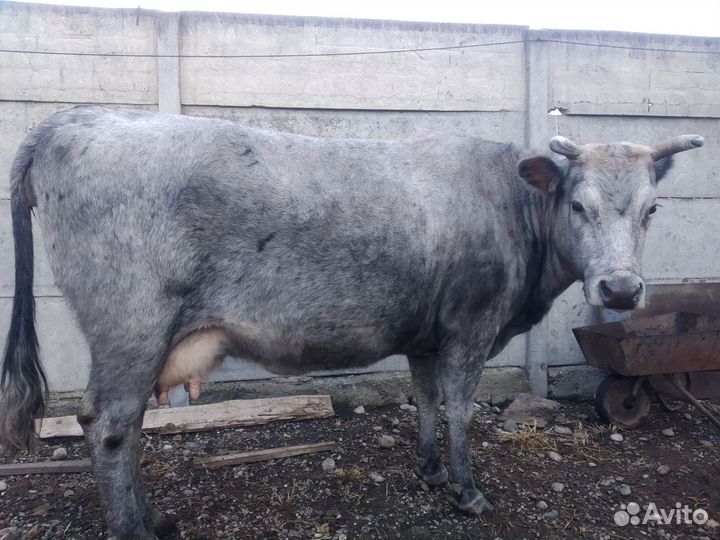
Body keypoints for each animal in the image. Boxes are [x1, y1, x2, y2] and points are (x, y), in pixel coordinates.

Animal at [0, 106, 703, 539]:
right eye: (578, 205)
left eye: (651, 208)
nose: (620, 289)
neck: (510, 205)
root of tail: (71, 118)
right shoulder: (471, 327)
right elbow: (459, 407)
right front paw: (467, 491)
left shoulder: (427, 335)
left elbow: (426, 399)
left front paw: (429, 470)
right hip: (131, 328)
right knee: (110, 428)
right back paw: (136, 527)